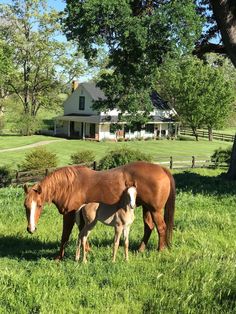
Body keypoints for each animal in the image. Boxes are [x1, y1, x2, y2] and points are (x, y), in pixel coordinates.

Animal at [24, 161, 175, 258]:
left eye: (39, 205)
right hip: (146, 208)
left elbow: (65, 235)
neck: (68, 186)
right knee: (149, 227)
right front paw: (87, 250)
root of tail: (162, 169)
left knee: (161, 227)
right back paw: (140, 250)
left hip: (155, 210)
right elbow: (82, 233)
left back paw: (160, 250)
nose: (31, 229)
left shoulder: (69, 215)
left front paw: (58, 258)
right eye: (26, 206)